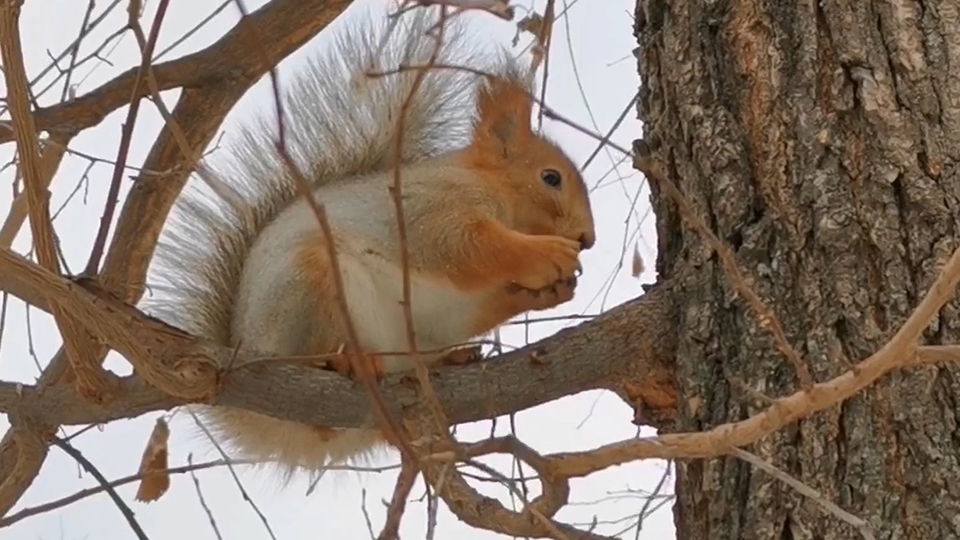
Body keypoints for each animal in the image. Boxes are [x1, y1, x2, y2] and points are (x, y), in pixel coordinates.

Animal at [144, 5, 592, 476]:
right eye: (551, 178)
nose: (588, 238)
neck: (488, 186)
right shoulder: (429, 210)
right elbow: (468, 246)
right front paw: (547, 254)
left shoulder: (463, 299)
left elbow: (484, 299)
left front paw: (550, 291)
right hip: (308, 286)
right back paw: (346, 361)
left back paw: (446, 360)